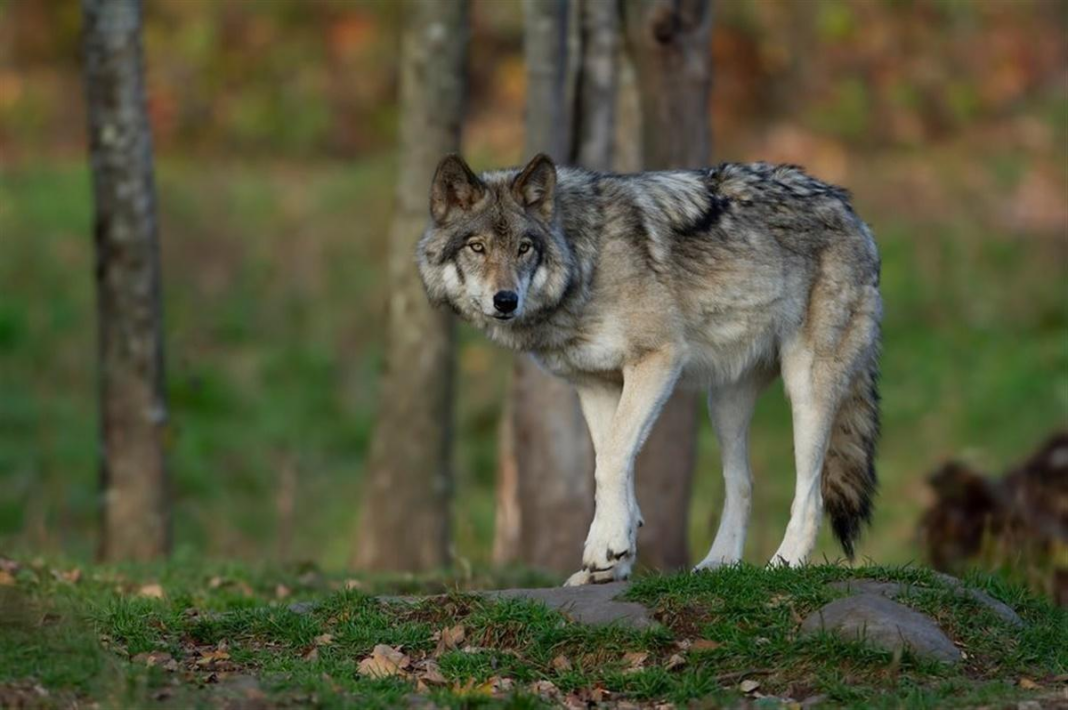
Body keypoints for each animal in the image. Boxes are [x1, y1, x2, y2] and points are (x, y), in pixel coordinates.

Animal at [417, 153, 881, 586]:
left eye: (524, 247)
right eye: (477, 247)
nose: (506, 300)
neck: (587, 261)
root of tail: (850, 209)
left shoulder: (658, 359)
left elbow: (612, 458)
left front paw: (605, 546)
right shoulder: (596, 384)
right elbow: (612, 460)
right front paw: (614, 556)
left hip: (806, 391)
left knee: (810, 494)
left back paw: (784, 564)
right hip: (724, 405)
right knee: (742, 484)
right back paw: (718, 564)